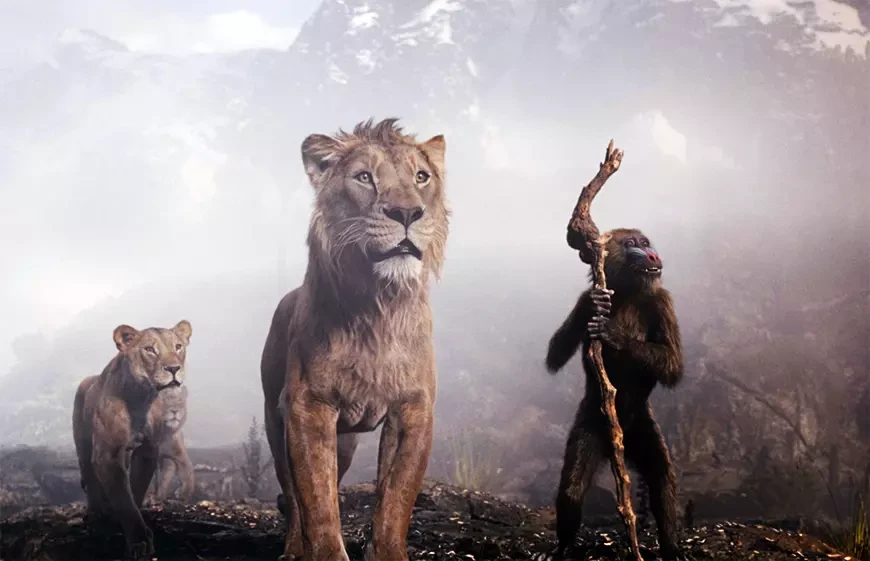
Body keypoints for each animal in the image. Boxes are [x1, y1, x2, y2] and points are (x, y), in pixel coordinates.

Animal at [72, 320, 193, 560]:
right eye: (150, 349)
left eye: (178, 347)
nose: (173, 369)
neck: (141, 398)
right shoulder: (107, 454)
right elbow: (123, 498)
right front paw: (139, 541)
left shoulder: (147, 451)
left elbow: (134, 491)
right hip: (83, 443)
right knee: (89, 477)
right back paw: (96, 515)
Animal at [260, 118, 449, 561]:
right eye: (364, 177)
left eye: (422, 177)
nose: (406, 212)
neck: (379, 308)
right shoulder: (309, 407)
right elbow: (317, 501)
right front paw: (324, 550)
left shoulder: (414, 410)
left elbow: (396, 498)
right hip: (276, 421)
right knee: (293, 495)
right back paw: (293, 548)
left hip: (344, 443)